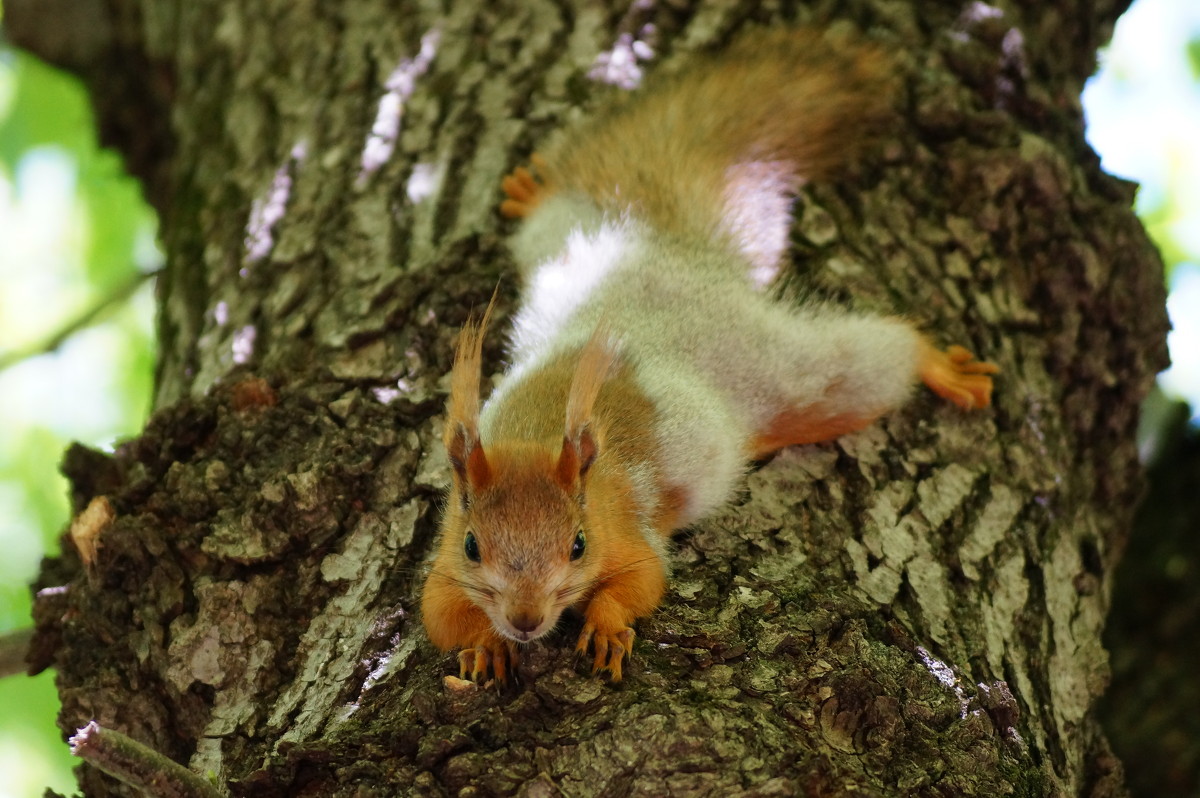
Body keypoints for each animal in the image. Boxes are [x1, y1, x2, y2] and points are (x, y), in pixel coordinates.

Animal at [417, 28, 998, 681]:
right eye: (474, 545)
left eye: (577, 544)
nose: (524, 620)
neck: (538, 441)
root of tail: (675, 257)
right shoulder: (443, 563)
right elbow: (439, 614)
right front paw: (484, 644)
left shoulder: (629, 532)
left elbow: (642, 582)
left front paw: (606, 626)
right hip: (563, 240)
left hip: (798, 375)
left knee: (873, 361)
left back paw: (939, 366)